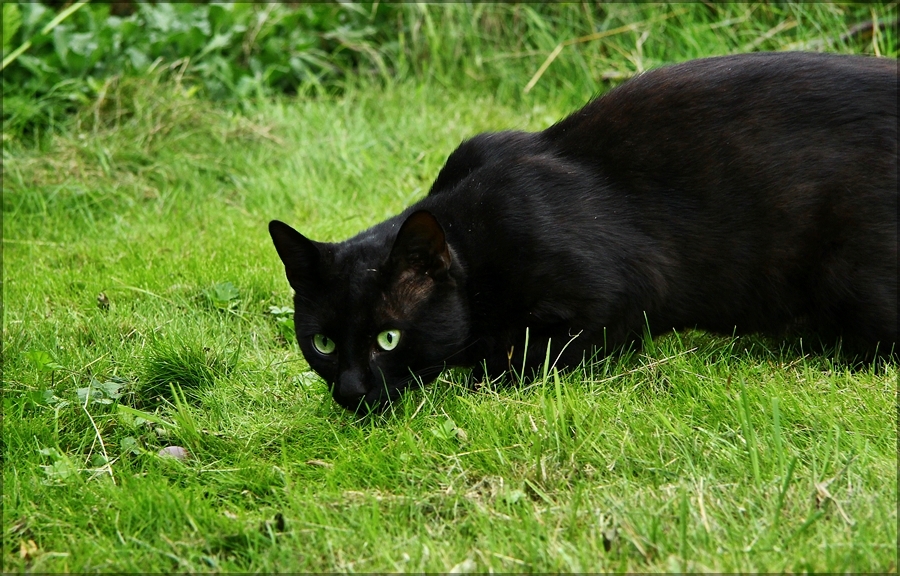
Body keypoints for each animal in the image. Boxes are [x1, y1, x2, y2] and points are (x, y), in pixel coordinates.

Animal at [270, 51, 896, 412]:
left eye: (388, 339)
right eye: (322, 344)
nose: (350, 392)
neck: (474, 238)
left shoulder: (612, 297)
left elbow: (518, 361)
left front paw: (480, 377)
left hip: (855, 279)